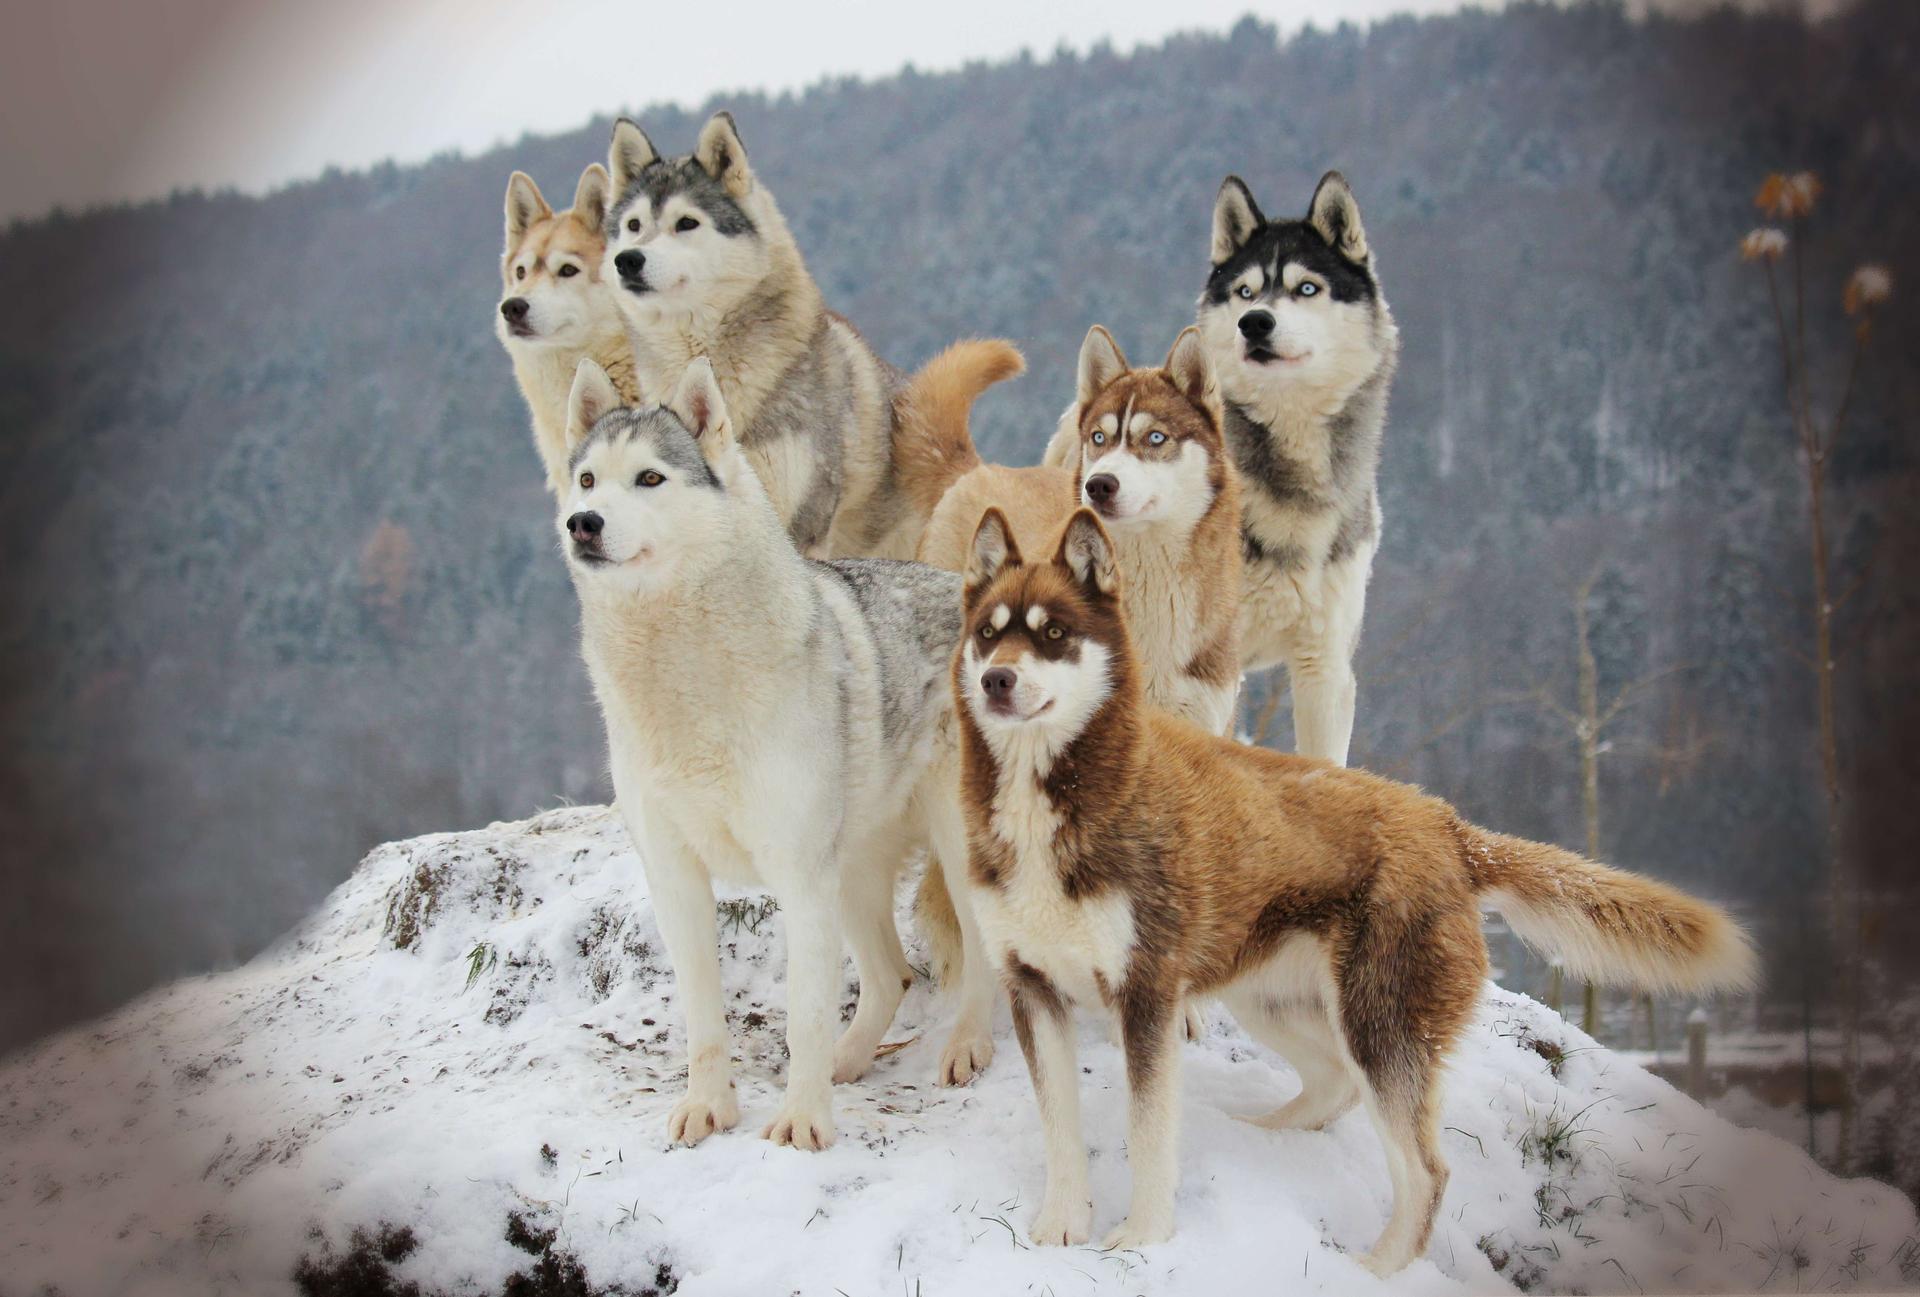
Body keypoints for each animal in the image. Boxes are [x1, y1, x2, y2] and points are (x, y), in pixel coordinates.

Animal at [558, 355, 979, 1148]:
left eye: (650, 478)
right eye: (589, 480)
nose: (583, 524)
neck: (686, 676)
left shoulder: (798, 880)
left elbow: (804, 1020)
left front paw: (804, 1124)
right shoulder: (676, 880)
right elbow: (704, 1019)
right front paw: (708, 1110)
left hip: (957, 861)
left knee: (984, 961)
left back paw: (968, 1049)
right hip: (855, 875)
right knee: (892, 976)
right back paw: (852, 1061)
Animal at [952, 507, 1755, 1271]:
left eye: (1054, 633)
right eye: (988, 635)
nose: (997, 680)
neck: (1056, 801)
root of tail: (1448, 824)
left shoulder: (1146, 996)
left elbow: (1150, 1137)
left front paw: (1143, 1239)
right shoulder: (1035, 991)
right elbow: (1061, 1131)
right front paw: (1061, 1227)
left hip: (1379, 1027)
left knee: (1425, 1170)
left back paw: (1377, 1266)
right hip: (1272, 996)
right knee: (1334, 1084)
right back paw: (1260, 1138)